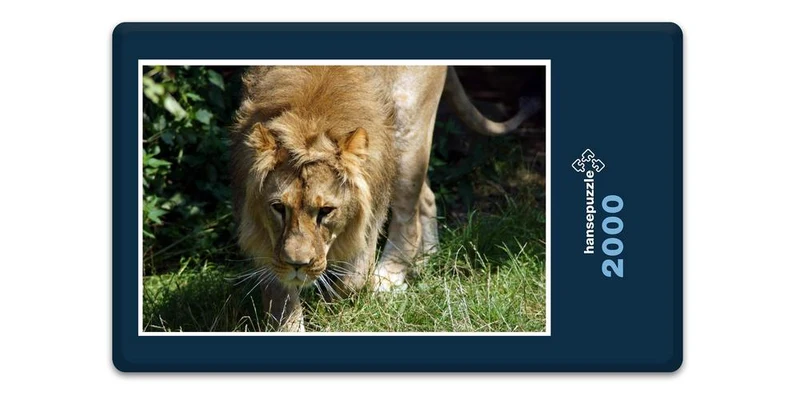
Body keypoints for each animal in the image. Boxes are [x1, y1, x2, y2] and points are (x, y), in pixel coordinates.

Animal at [230, 66, 539, 331]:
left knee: (408, 215)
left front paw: (334, 306)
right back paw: (426, 260)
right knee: (427, 197)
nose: (297, 264)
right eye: (278, 207)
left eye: (326, 211)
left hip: (408, 127)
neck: (312, 116)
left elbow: (353, 279)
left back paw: (389, 279)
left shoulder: (370, 208)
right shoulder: (265, 235)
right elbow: (280, 299)